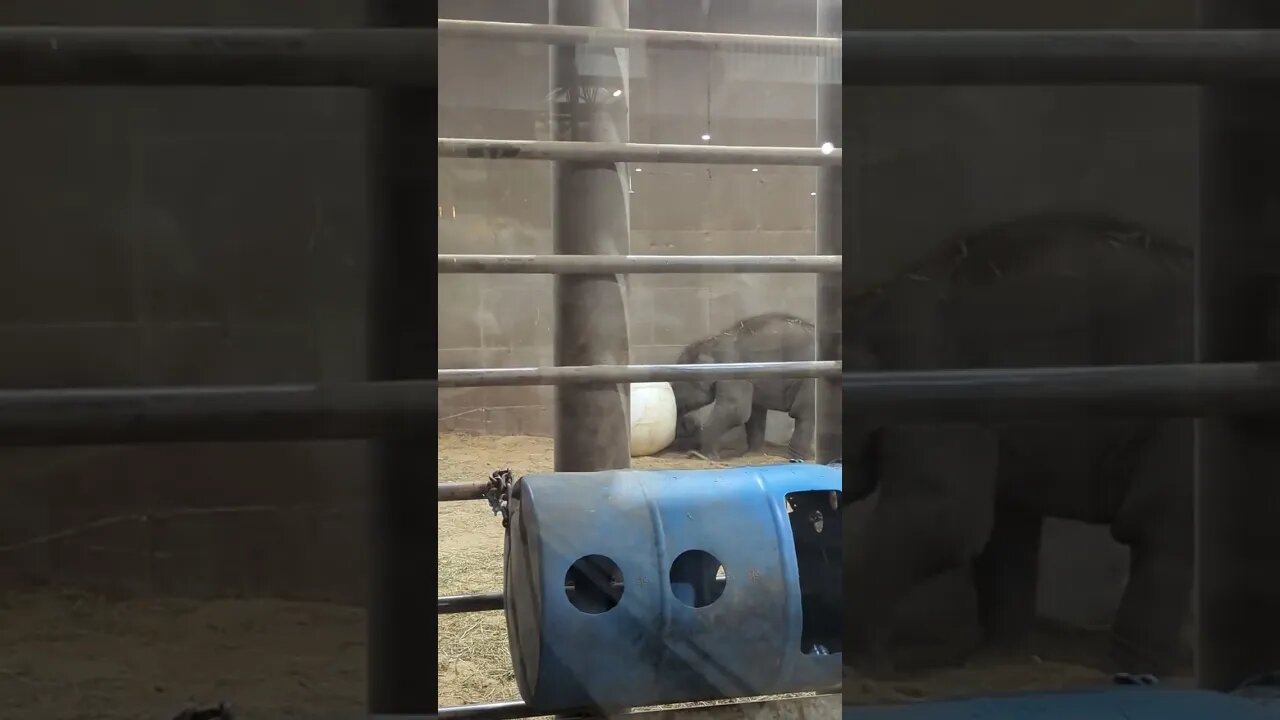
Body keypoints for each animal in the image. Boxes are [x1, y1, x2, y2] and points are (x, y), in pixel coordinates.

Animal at [670, 312, 819, 458]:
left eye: (676, 384)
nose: (687, 424)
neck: (712, 342)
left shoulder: (733, 370)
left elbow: (735, 410)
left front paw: (703, 456)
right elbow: (755, 413)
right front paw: (751, 455)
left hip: (810, 379)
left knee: (803, 413)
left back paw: (796, 457)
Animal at [844, 210, 1192, 676]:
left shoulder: (930, 382)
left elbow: (949, 516)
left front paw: (862, 666)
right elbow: (993, 522)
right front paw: (990, 662)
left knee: (1154, 526)